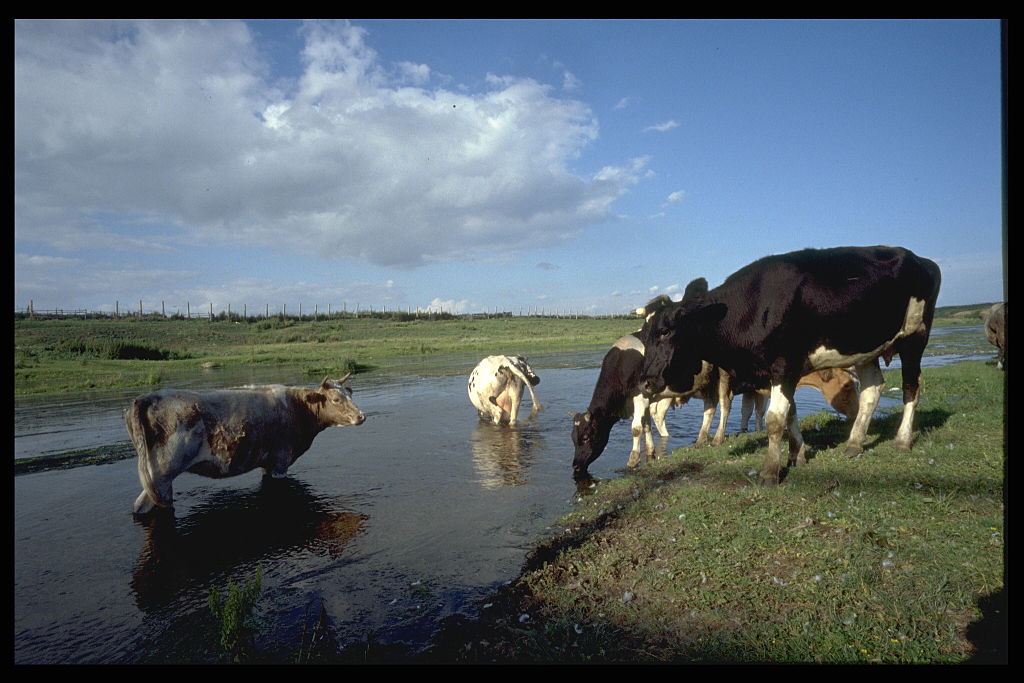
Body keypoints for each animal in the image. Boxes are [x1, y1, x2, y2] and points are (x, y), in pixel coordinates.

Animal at [124, 376, 366, 516]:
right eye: (335, 399)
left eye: (349, 394)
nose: (361, 416)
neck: (297, 408)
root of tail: (146, 398)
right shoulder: (281, 461)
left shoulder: (268, 463)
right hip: (162, 477)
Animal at [638, 245, 942, 485]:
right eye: (645, 332)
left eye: (665, 330)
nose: (645, 381)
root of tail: (921, 259)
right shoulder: (784, 371)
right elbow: (791, 414)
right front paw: (799, 454)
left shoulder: (783, 366)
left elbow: (774, 419)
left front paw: (770, 471)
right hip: (865, 349)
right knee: (872, 390)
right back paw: (854, 443)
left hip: (915, 335)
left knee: (911, 387)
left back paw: (902, 440)